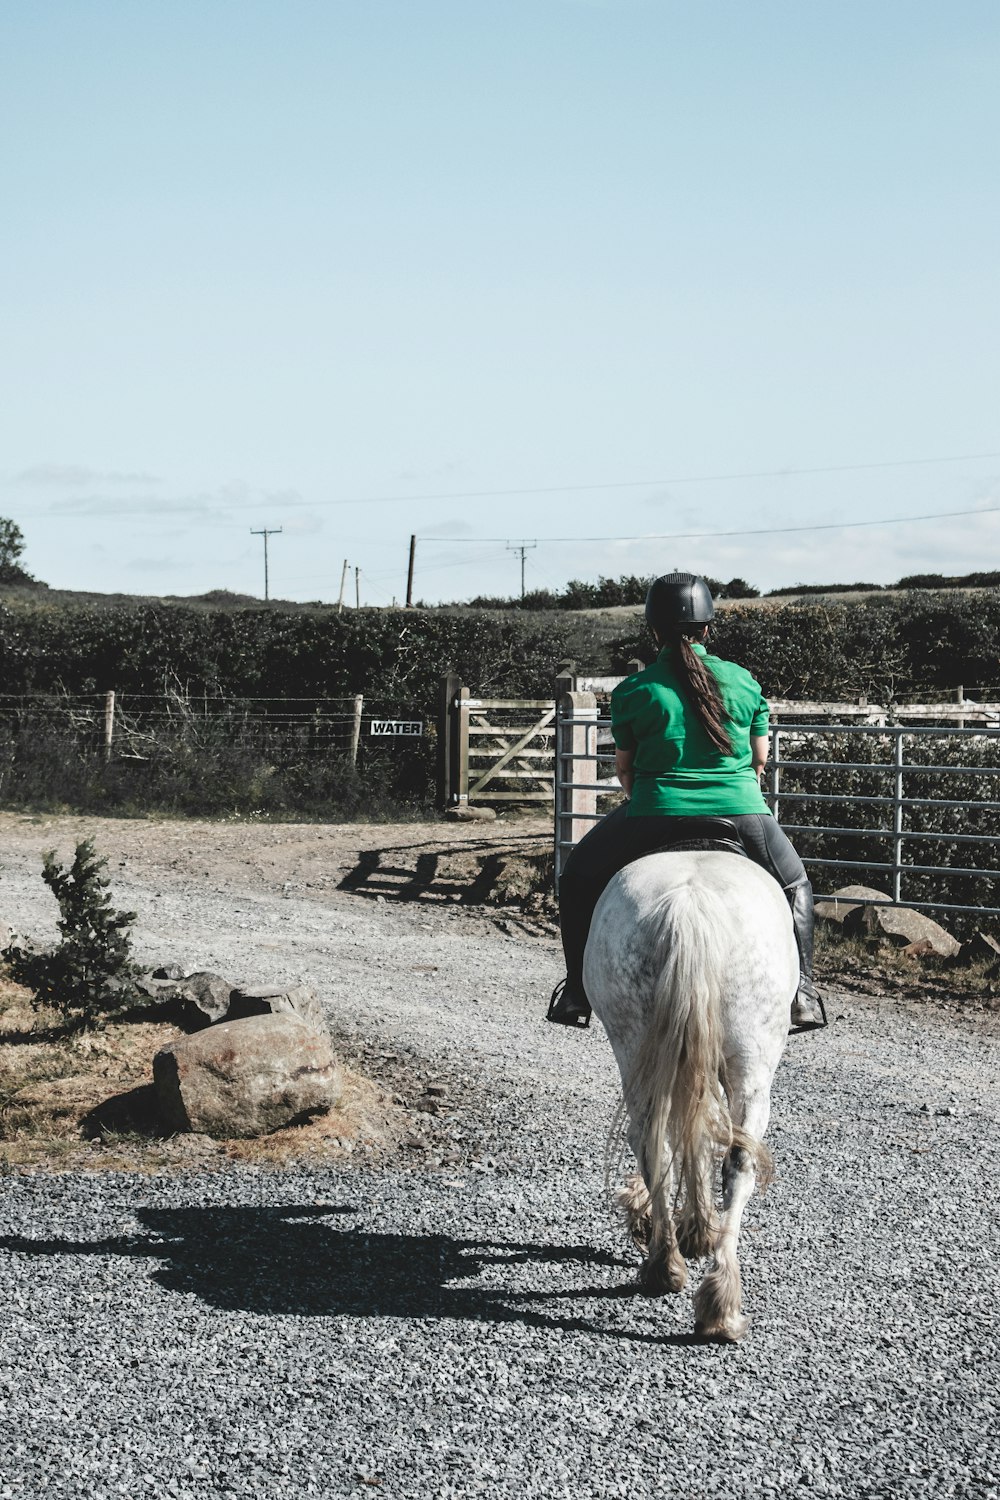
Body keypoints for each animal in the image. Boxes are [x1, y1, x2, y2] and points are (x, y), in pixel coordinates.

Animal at [581, 852, 791, 1344]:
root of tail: (689, 905)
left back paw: (670, 1267)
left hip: (635, 1042)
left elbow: (691, 1135)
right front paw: (697, 1229)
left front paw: (690, 1227)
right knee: (736, 1161)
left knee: (655, 1140)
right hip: (752, 1065)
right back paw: (717, 1300)